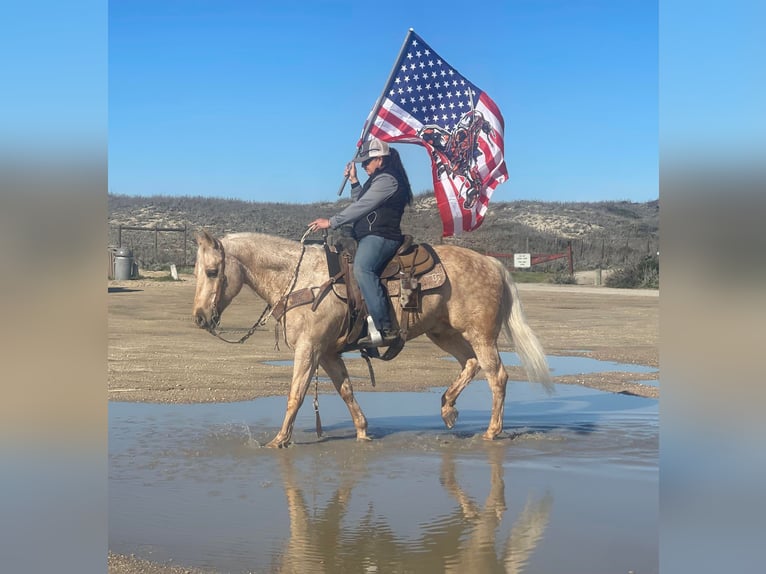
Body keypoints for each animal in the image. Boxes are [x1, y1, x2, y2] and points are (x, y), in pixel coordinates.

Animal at [192, 230, 552, 450]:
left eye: (212, 272)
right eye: (196, 271)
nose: (200, 318)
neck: (303, 280)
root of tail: (492, 263)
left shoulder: (309, 348)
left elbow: (295, 395)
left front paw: (279, 440)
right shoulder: (328, 353)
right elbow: (346, 390)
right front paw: (363, 432)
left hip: (480, 334)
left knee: (497, 375)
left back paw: (491, 431)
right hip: (443, 333)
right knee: (471, 364)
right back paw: (448, 409)